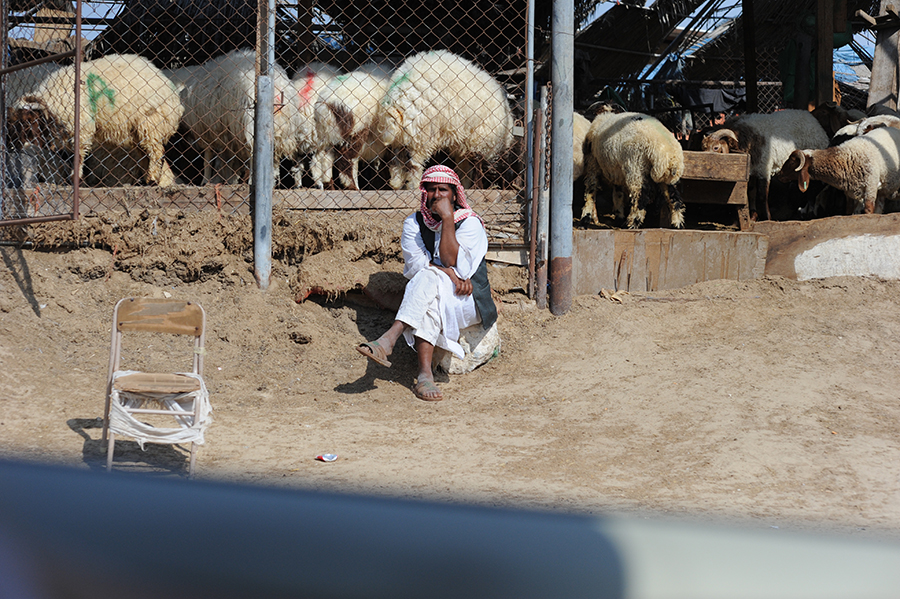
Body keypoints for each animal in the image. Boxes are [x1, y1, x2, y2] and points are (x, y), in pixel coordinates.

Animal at [15, 54, 182, 187]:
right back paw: (148, 180)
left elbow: (78, 154)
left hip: (151, 122)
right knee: (145, 154)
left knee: (156, 151)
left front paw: (76, 178)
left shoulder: (81, 125)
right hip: (138, 130)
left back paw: (152, 179)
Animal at [378, 49, 514, 190]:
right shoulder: (476, 142)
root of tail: (397, 97)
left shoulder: (464, 145)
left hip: (403, 137)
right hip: (422, 135)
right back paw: (414, 187)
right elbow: (472, 170)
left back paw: (396, 184)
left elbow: (465, 170)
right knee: (414, 166)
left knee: (397, 162)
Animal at [700, 109, 829, 220]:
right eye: (703, 148)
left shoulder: (764, 168)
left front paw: (768, 218)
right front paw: (753, 216)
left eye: (716, 147)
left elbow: (762, 196)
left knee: (814, 186)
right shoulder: (752, 170)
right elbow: (751, 192)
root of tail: (809, 116)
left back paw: (811, 212)